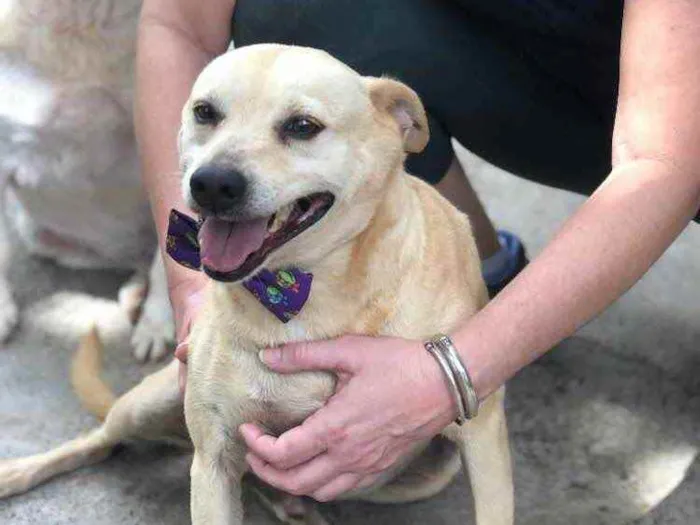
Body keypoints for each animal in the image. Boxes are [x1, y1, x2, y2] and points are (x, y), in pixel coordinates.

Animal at [0, 46, 516, 524]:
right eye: (205, 112)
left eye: (303, 126)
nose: (211, 184)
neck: (305, 292)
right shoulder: (212, 464)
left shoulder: (483, 437)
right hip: (148, 403)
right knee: (100, 438)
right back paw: (18, 472)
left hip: (429, 474)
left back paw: (292, 503)